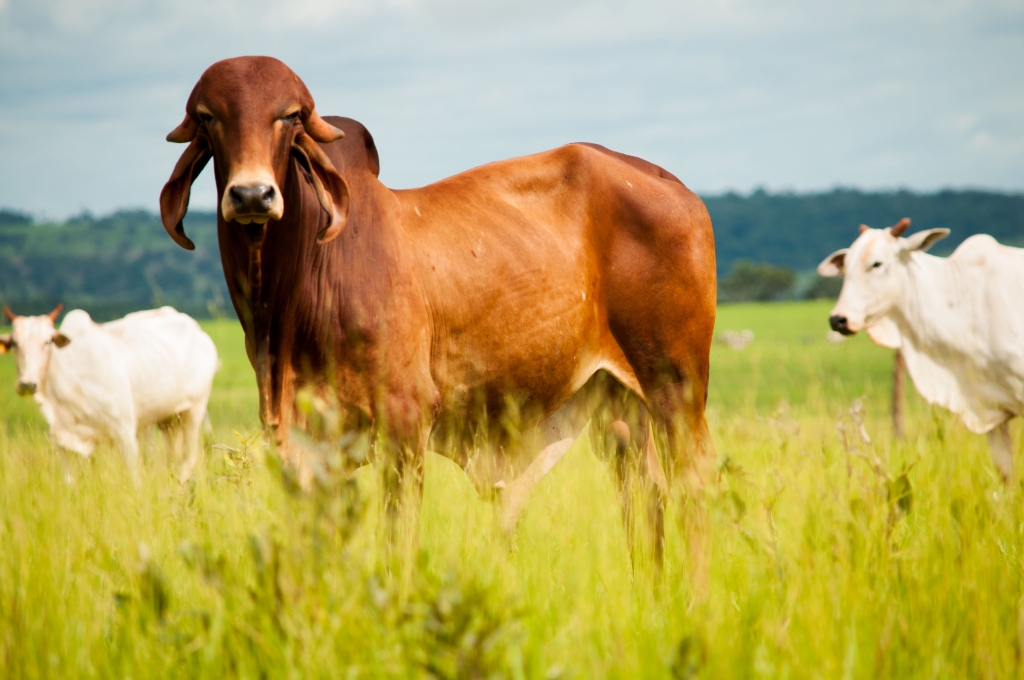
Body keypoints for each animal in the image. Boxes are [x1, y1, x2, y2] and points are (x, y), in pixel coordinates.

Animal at [1, 303, 218, 483]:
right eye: (14, 343)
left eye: (47, 342)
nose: (28, 384)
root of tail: (199, 332)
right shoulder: (63, 439)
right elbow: (70, 481)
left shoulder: (124, 430)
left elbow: (134, 477)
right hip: (168, 420)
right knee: (172, 458)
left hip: (194, 411)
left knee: (188, 458)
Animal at [161, 57, 720, 569]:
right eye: (209, 117)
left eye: (290, 116)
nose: (252, 194)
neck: (297, 290)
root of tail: (675, 185)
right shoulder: (307, 442)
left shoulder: (405, 421)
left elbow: (398, 540)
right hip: (618, 405)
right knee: (645, 498)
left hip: (676, 384)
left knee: (692, 488)